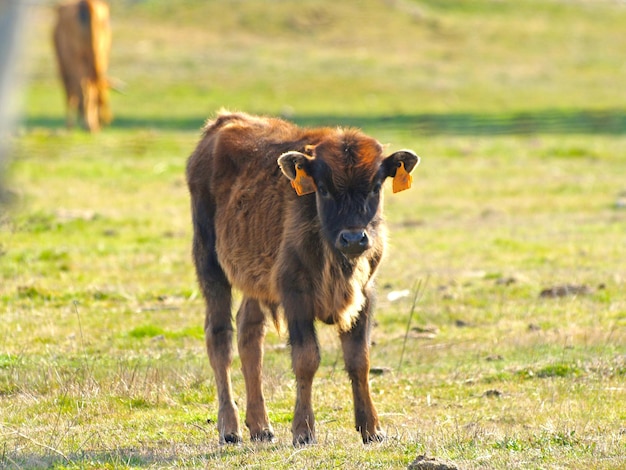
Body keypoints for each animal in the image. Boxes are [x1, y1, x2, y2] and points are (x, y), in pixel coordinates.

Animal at [52, 0, 111, 132]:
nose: (103, 121)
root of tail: (86, 4)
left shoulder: (63, 66)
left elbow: (70, 93)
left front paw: (70, 125)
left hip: (76, 58)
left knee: (83, 87)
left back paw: (86, 124)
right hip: (100, 56)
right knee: (93, 85)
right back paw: (91, 125)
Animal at [185, 111, 420, 444]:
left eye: (376, 185)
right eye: (322, 187)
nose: (353, 238)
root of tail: (221, 122)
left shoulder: (365, 294)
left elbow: (359, 359)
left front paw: (372, 429)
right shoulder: (295, 294)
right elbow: (307, 359)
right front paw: (303, 431)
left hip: (255, 283)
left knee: (249, 336)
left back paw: (261, 427)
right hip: (210, 264)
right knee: (220, 339)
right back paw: (230, 429)